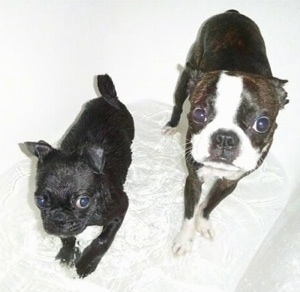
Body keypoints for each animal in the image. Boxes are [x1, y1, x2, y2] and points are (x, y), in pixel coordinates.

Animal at [24, 74, 134, 278]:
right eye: (39, 201)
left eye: (83, 202)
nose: (59, 218)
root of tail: (109, 98)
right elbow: (67, 237)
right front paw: (67, 254)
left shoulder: (120, 208)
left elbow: (103, 239)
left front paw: (86, 262)